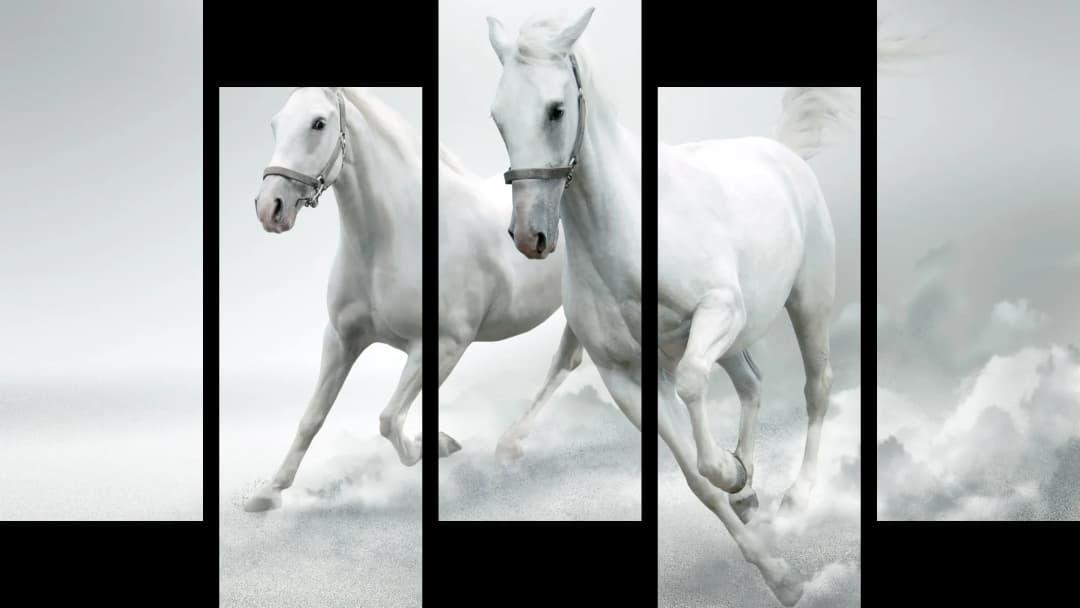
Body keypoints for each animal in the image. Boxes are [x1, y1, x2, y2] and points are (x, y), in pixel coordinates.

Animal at [243, 87, 577, 512]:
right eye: (275, 123)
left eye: (318, 123)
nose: (270, 207)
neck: (399, 235)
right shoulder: (340, 340)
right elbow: (312, 417)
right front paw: (269, 492)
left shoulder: (442, 345)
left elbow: (389, 420)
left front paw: (437, 445)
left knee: (564, 363)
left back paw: (509, 443)